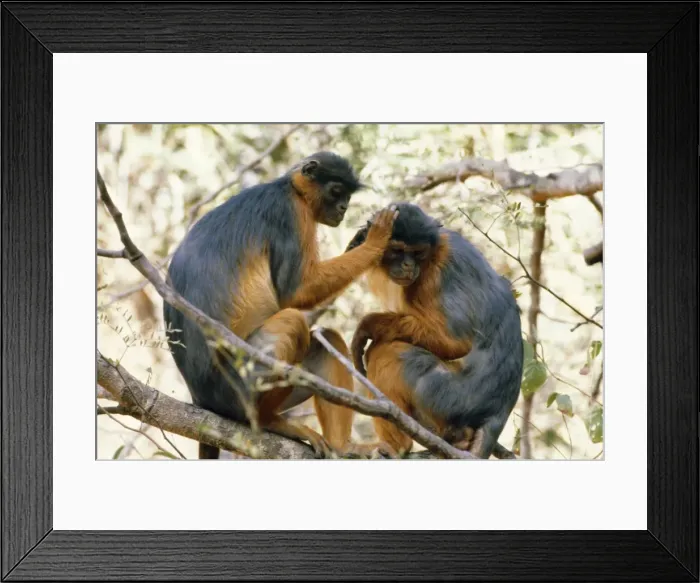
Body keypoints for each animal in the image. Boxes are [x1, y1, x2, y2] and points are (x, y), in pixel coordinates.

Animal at [163, 151, 398, 459]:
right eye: (337, 192)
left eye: (347, 195)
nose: (344, 207)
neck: (291, 188)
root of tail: (202, 399)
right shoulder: (290, 214)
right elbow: (295, 292)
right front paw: (375, 241)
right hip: (240, 382)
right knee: (292, 322)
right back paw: (266, 420)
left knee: (324, 342)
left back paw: (343, 446)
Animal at [345, 202, 523, 459]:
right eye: (397, 251)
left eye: (417, 253)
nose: (408, 265)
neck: (431, 255)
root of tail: (498, 412)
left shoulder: (439, 272)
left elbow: (456, 342)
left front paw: (369, 325)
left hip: (447, 396)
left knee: (386, 353)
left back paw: (396, 447)